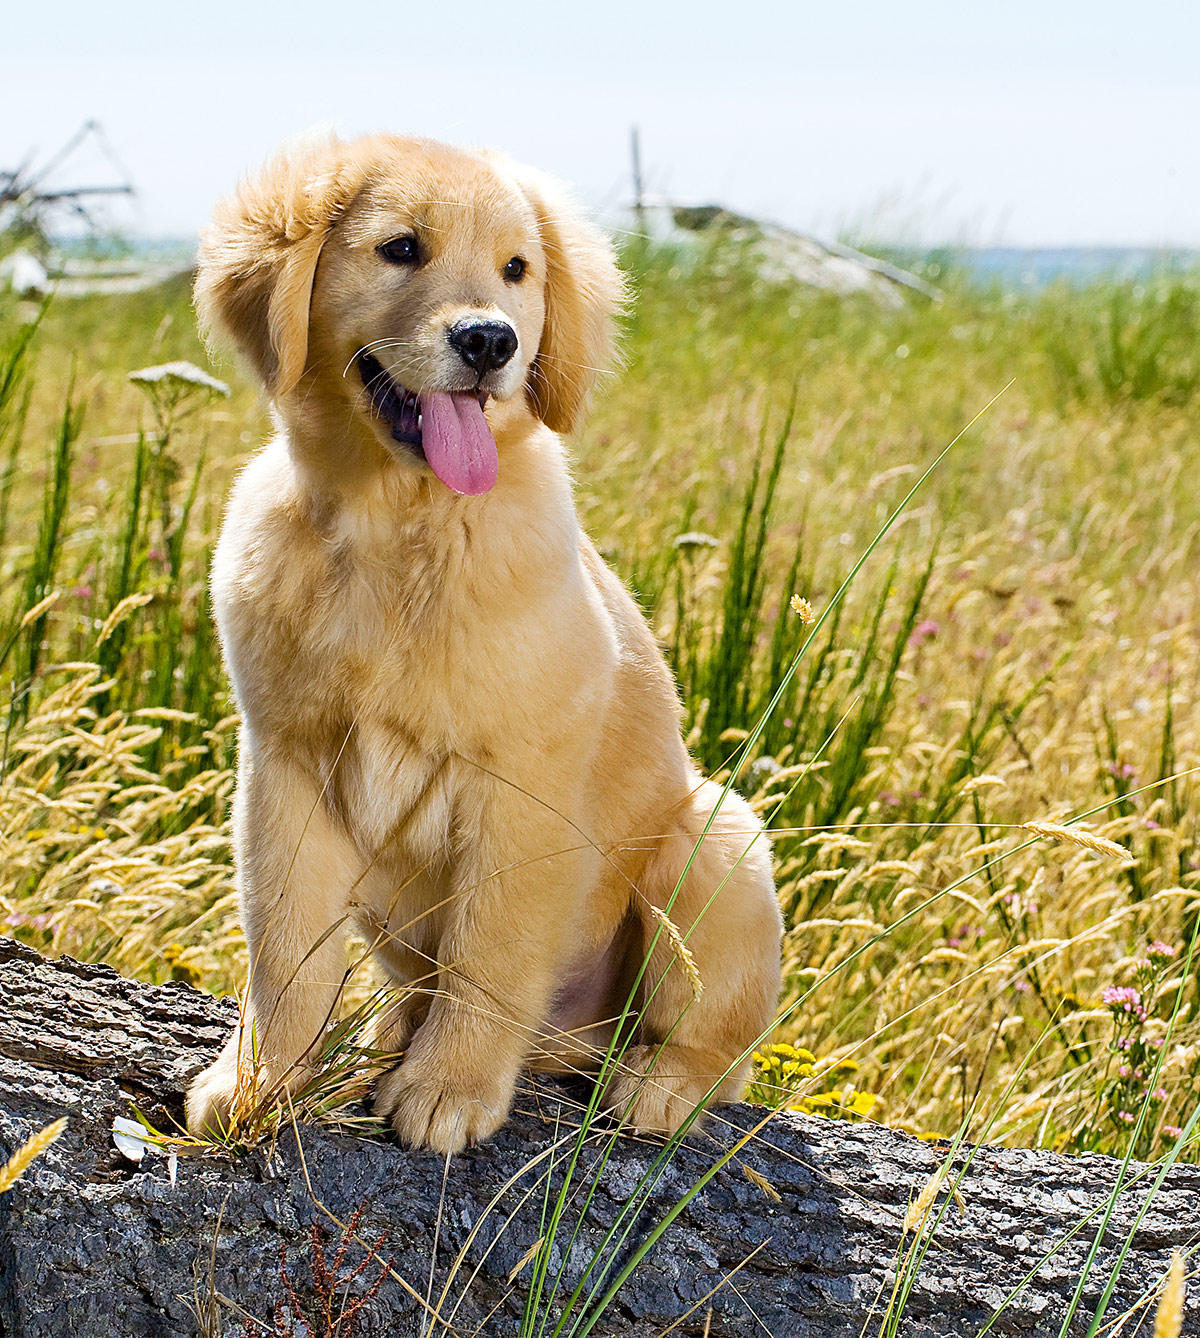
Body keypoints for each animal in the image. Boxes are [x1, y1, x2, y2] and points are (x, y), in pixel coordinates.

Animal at [184, 130, 786, 1150]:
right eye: (400, 249)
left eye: (516, 271)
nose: (490, 341)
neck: (392, 522)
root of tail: (567, 1043)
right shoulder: (285, 765)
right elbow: (286, 952)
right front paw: (263, 1079)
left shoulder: (523, 787)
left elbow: (491, 949)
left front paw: (451, 1090)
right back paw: (392, 1034)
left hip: (718, 838)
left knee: (718, 1044)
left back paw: (659, 1084)